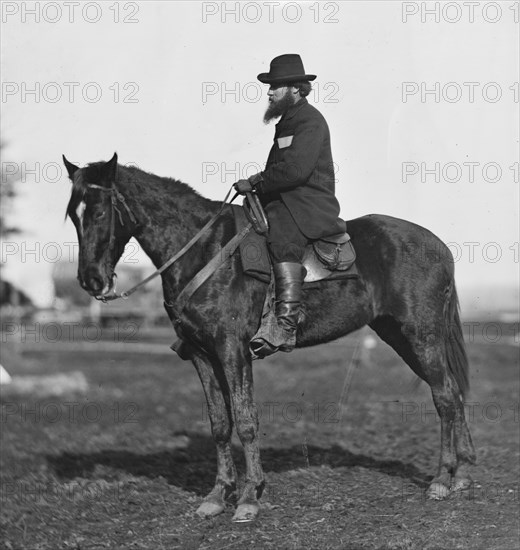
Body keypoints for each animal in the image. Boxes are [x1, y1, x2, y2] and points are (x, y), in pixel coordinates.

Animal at [64, 154, 476, 520]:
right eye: (73, 215)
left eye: (99, 212)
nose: (90, 280)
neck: (204, 252)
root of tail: (438, 246)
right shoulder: (202, 354)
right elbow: (220, 424)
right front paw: (217, 496)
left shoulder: (232, 350)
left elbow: (246, 421)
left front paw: (249, 498)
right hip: (400, 337)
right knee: (453, 392)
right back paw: (463, 473)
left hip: (421, 335)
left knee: (444, 397)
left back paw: (442, 479)